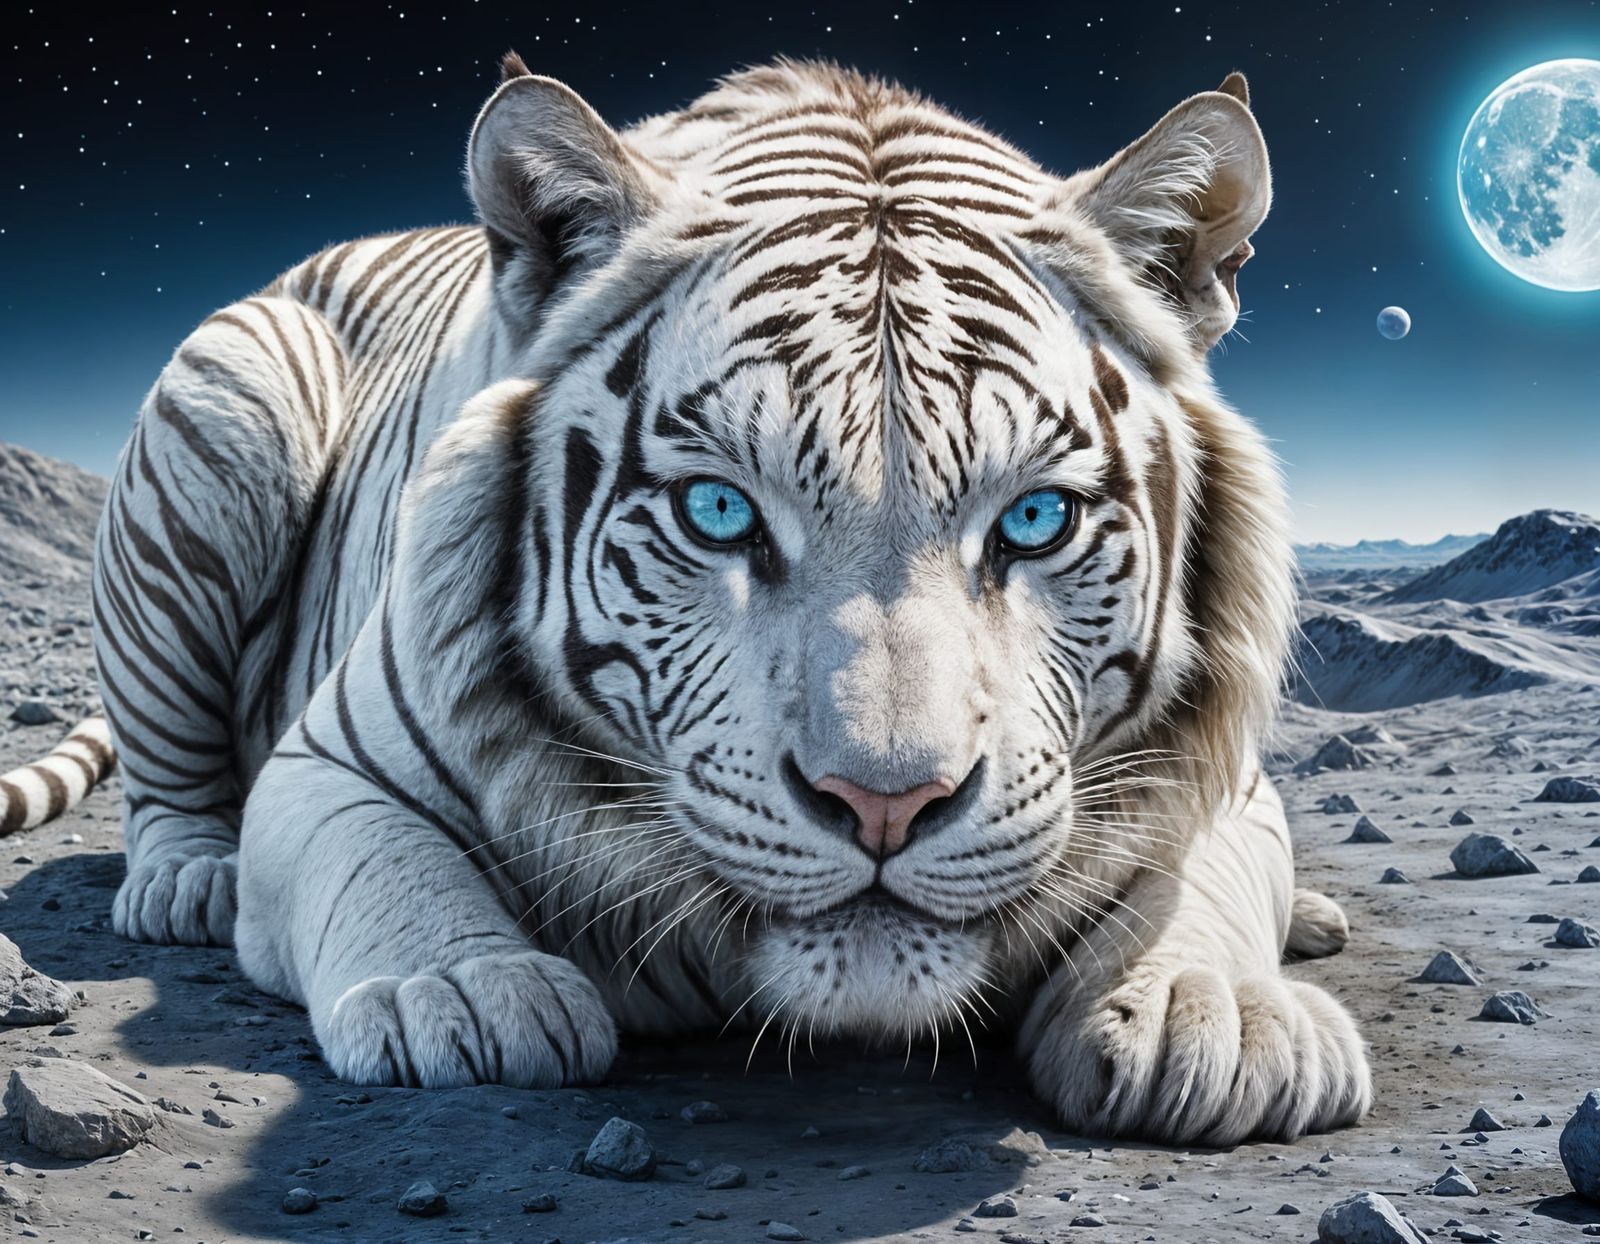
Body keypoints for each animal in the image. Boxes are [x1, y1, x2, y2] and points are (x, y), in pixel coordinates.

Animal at [24, 55, 1371, 1144]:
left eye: (1033, 519)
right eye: (718, 511)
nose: (884, 805)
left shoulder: (1225, 783)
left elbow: (1196, 877)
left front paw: (1207, 1013)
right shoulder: (335, 760)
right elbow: (382, 856)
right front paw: (455, 990)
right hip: (233, 398)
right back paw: (187, 881)